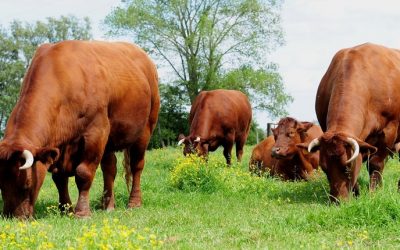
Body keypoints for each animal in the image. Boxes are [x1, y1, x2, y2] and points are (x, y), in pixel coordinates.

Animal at [0, 40, 159, 218]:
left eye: (27, 184)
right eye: (0, 184)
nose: (12, 217)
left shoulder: (96, 132)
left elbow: (83, 173)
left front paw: (82, 212)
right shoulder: (59, 147)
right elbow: (59, 178)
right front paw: (66, 209)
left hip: (145, 129)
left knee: (136, 166)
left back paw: (134, 203)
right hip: (109, 140)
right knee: (110, 168)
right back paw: (107, 205)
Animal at [308, 42, 400, 201]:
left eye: (347, 167)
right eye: (324, 169)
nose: (337, 201)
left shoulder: (390, 129)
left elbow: (376, 163)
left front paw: (374, 192)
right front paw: (357, 193)